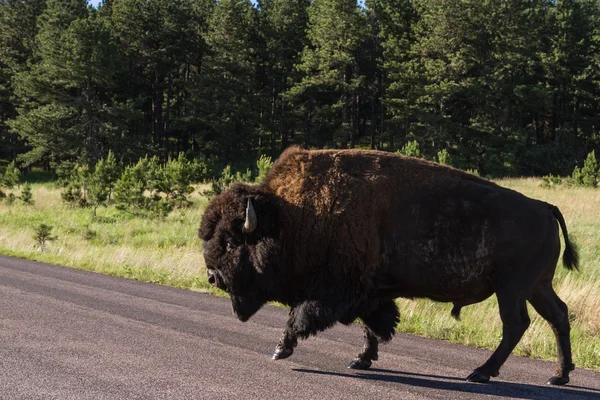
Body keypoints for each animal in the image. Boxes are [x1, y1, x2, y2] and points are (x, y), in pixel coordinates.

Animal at [199, 148, 580, 386]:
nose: (213, 276)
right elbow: (373, 325)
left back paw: (481, 373)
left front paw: (281, 349)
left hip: (511, 288)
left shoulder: (334, 291)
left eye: (231, 242)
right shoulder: (370, 292)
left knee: (516, 324)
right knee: (557, 315)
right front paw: (361, 359)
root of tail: (544, 207)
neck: (289, 217)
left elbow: (301, 316)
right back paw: (559, 376)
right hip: (536, 286)